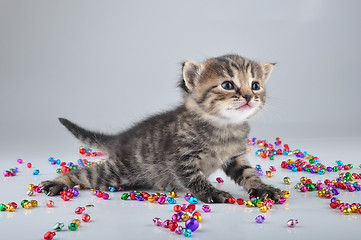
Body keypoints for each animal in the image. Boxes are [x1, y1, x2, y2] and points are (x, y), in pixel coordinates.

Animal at [40, 54, 282, 202]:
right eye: (228, 85)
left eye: (255, 85)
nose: (249, 96)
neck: (224, 127)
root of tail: (121, 138)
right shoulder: (179, 158)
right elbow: (195, 179)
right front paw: (212, 193)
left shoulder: (236, 156)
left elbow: (248, 172)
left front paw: (262, 188)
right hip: (118, 171)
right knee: (86, 173)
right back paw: (58, 182)